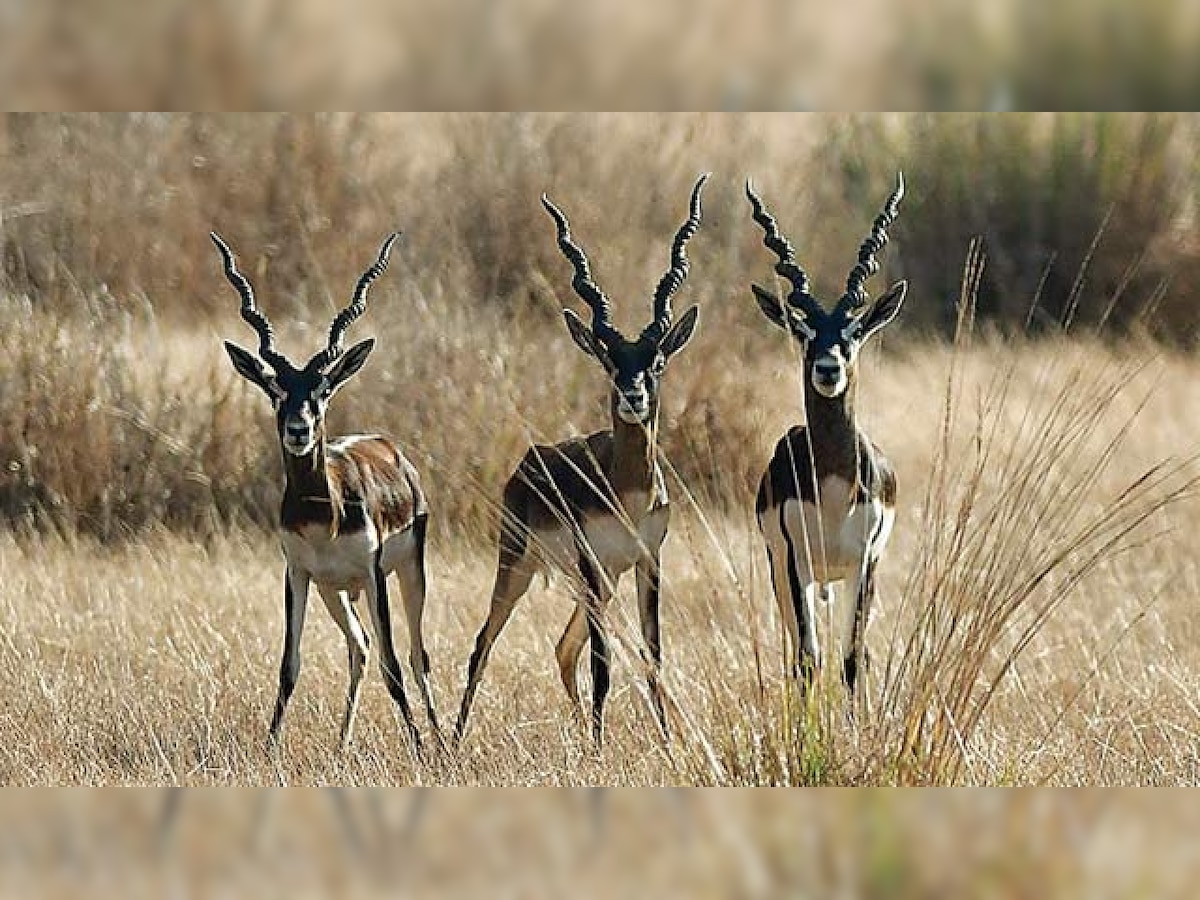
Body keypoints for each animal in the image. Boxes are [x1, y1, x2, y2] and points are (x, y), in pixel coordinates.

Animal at [216, 229, 441, 748]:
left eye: (321, 390)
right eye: (276, 391)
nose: (299, 430)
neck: (325, 515)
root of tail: (390, 447)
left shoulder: (374, 574)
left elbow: (395, 667)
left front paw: (420, 748)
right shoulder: (297, 574)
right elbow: (288, 666)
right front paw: (270, 747)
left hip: (408, 573)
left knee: (416, 656)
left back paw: (441, 741)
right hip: (334, 591)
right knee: (359, 647)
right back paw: (343, 746)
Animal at [453, 174, 705, 748]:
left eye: (657, 360)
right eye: (610, 360)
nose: (633, 396)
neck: (628, 492)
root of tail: (525, 464)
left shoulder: (648, 561)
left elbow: (652, 655)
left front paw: (665, 742)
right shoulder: (592, 562)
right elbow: (604, 663)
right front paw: (599, 748)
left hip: (600, 584)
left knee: (563, 649)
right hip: (521, 565)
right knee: (482, 645)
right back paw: (448, 745)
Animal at [744, 174, 902, 710]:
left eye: (853, 332)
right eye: (804, 332)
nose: (828, 369)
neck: (833, 489)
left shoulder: (865, 562)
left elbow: (853, 659)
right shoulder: (795, 563)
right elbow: (809, 660)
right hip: (783, 571)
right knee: (798, 653)